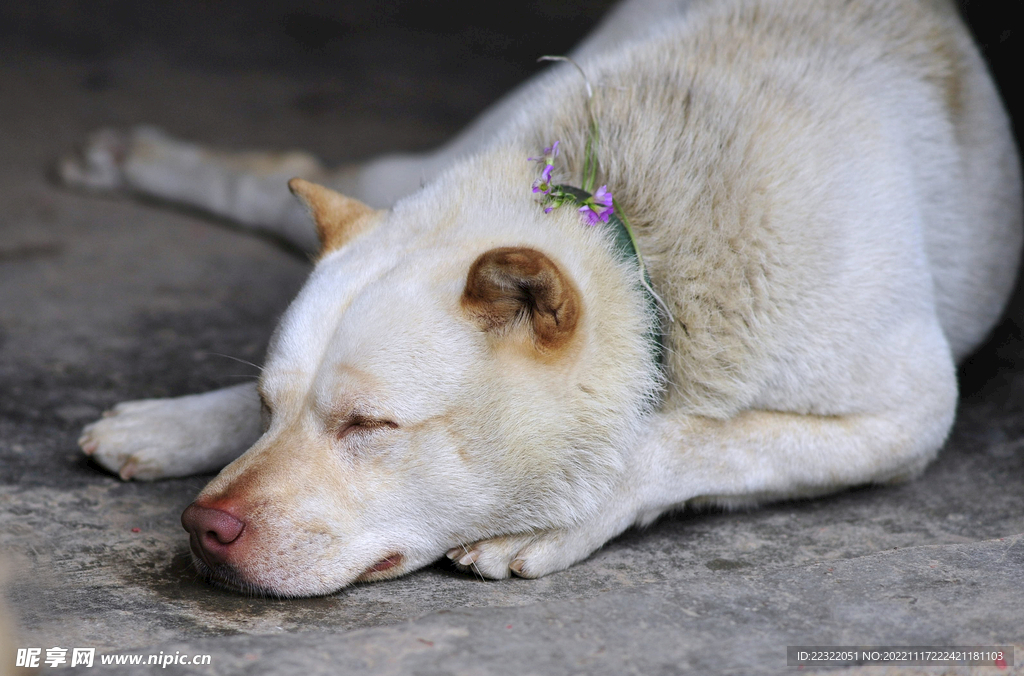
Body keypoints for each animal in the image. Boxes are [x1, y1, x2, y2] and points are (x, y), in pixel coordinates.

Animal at [61, 0, 1015, 594]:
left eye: (370, 427)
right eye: (268, 406)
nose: (203, 526)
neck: (641, 255)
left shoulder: (909, 416)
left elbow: (691, 442)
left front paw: (564, 513)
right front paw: (191, 420)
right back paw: (139, 163)